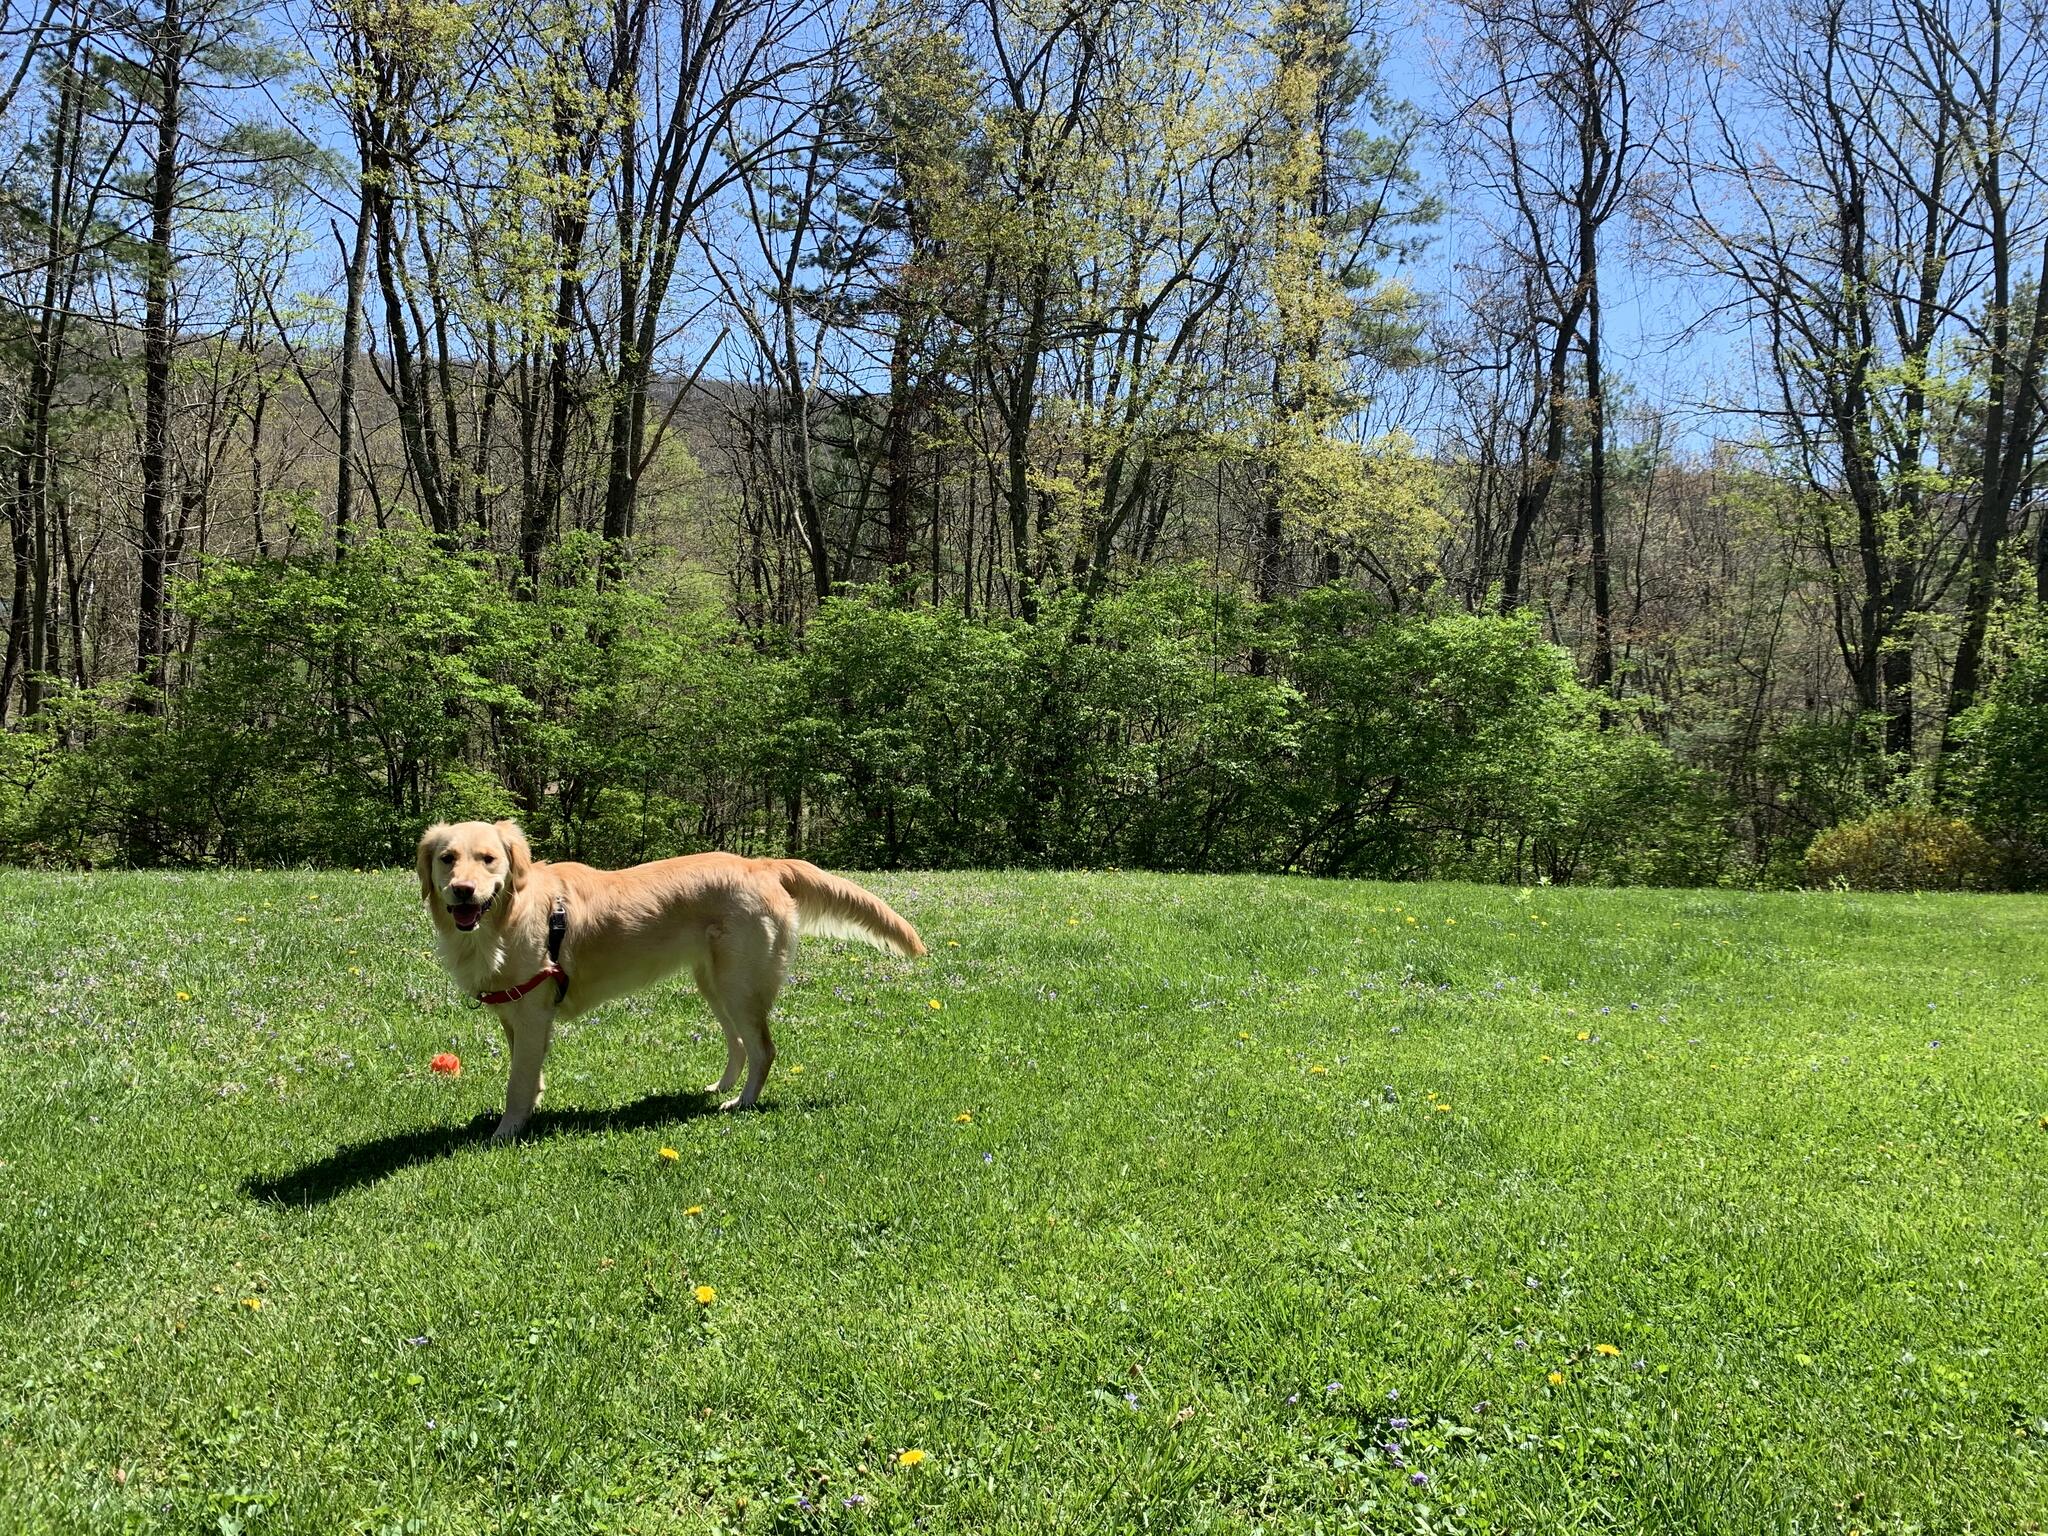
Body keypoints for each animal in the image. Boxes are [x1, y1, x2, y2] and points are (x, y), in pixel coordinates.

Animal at [417, 819, 929, 1146]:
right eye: (447, 859)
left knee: (763, 1048)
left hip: (739, 985)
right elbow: (529, 1076)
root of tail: (761, 863)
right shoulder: (516, 1016)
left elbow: (517, 1083)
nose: (462, 891)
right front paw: (527, 1114)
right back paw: (720, 1089)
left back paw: (742, 1103)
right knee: (739, 1044)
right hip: (715, 983)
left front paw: (505, 1131)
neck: (509, 918)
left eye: (488, 859)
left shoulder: (532, 1013)